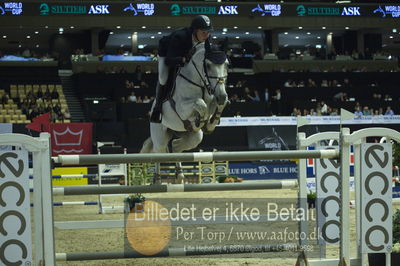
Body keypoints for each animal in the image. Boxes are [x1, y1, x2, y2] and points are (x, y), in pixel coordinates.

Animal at [141, 43, 228, 184]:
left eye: (227, 64)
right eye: (208, 65)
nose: (221, 95)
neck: (201, 83)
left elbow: (218, 105)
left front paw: (209, 124)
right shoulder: (182, 108)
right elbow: (200, 104)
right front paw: (200, 120)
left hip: (193, 137)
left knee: (175, 147)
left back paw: (180, 175)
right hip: (159, 135)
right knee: (158, 151)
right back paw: (158, 179)